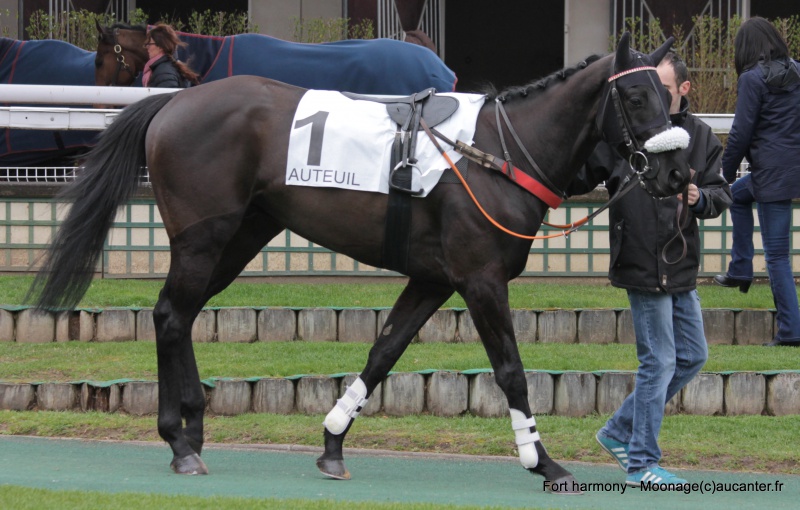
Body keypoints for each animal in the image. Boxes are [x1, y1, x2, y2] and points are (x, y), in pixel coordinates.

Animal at [28, 32, 684, 494]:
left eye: (667, 97)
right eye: (634, 96)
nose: (676, 174)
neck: (493, 153)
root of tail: (176, 100)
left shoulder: (432, 279)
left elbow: (383, 352)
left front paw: (333, 443)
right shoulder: (480, 279)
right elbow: (511, 371)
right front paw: (542, 460)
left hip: (242, 235)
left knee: (180, 316)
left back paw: (190, 430)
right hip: (202, 237)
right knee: (169, 314)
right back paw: (180, 442)